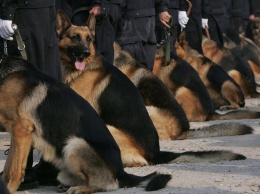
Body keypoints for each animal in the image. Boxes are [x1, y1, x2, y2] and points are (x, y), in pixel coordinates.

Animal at [0, 53, 173, 194]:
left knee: (109, 184)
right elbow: (8, 167)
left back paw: (80, 188)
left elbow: (14, 170)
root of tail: (121, 172)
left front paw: (8, 189)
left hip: (75, 145)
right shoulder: (16, 134)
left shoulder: (21, 130)